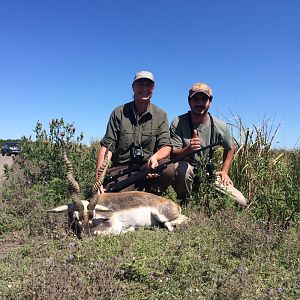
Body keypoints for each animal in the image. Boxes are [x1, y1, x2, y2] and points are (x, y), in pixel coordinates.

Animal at [48, 144, 188, 238]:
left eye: (92, 216)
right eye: (76, 217)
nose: (86, 236)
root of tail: (174, 204)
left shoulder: (113, 225)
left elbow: (103, 232)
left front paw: (130, 229)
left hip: (163, 216)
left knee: (179, 221)